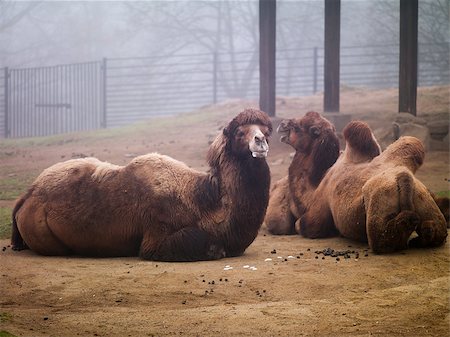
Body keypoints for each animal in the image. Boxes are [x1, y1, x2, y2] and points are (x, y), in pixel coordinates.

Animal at [12, 109, 272, 262]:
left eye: (266, 130)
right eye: (240, 132)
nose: (260, 141)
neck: (204, 203)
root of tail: (27, 196)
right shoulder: (156, 237)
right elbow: (204, 244)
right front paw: (215, 249)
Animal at [300, 121, 448, 252]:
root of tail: (406, 179)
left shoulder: (323, 195)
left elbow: (313, 225)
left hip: (381, 193)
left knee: (380, 239)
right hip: (421, 195)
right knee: (439, 230)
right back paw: (424, 233)